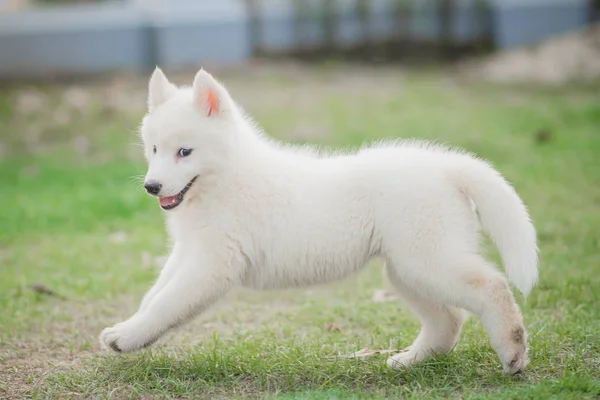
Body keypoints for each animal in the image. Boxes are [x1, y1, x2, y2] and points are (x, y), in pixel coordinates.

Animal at [99, 68, 540, 376]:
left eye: (185, 152)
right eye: (154, 149)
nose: (152, 187)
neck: (225, 178)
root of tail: (448, 166)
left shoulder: (211, 264)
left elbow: (167, 304)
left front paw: (129, 336)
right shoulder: (187, 253)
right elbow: (154, 296)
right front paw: (128, 329)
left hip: (427, 260)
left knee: (491, 286)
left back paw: (513, 352)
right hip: (407, 269)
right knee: (448, 319)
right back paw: (411, 361)